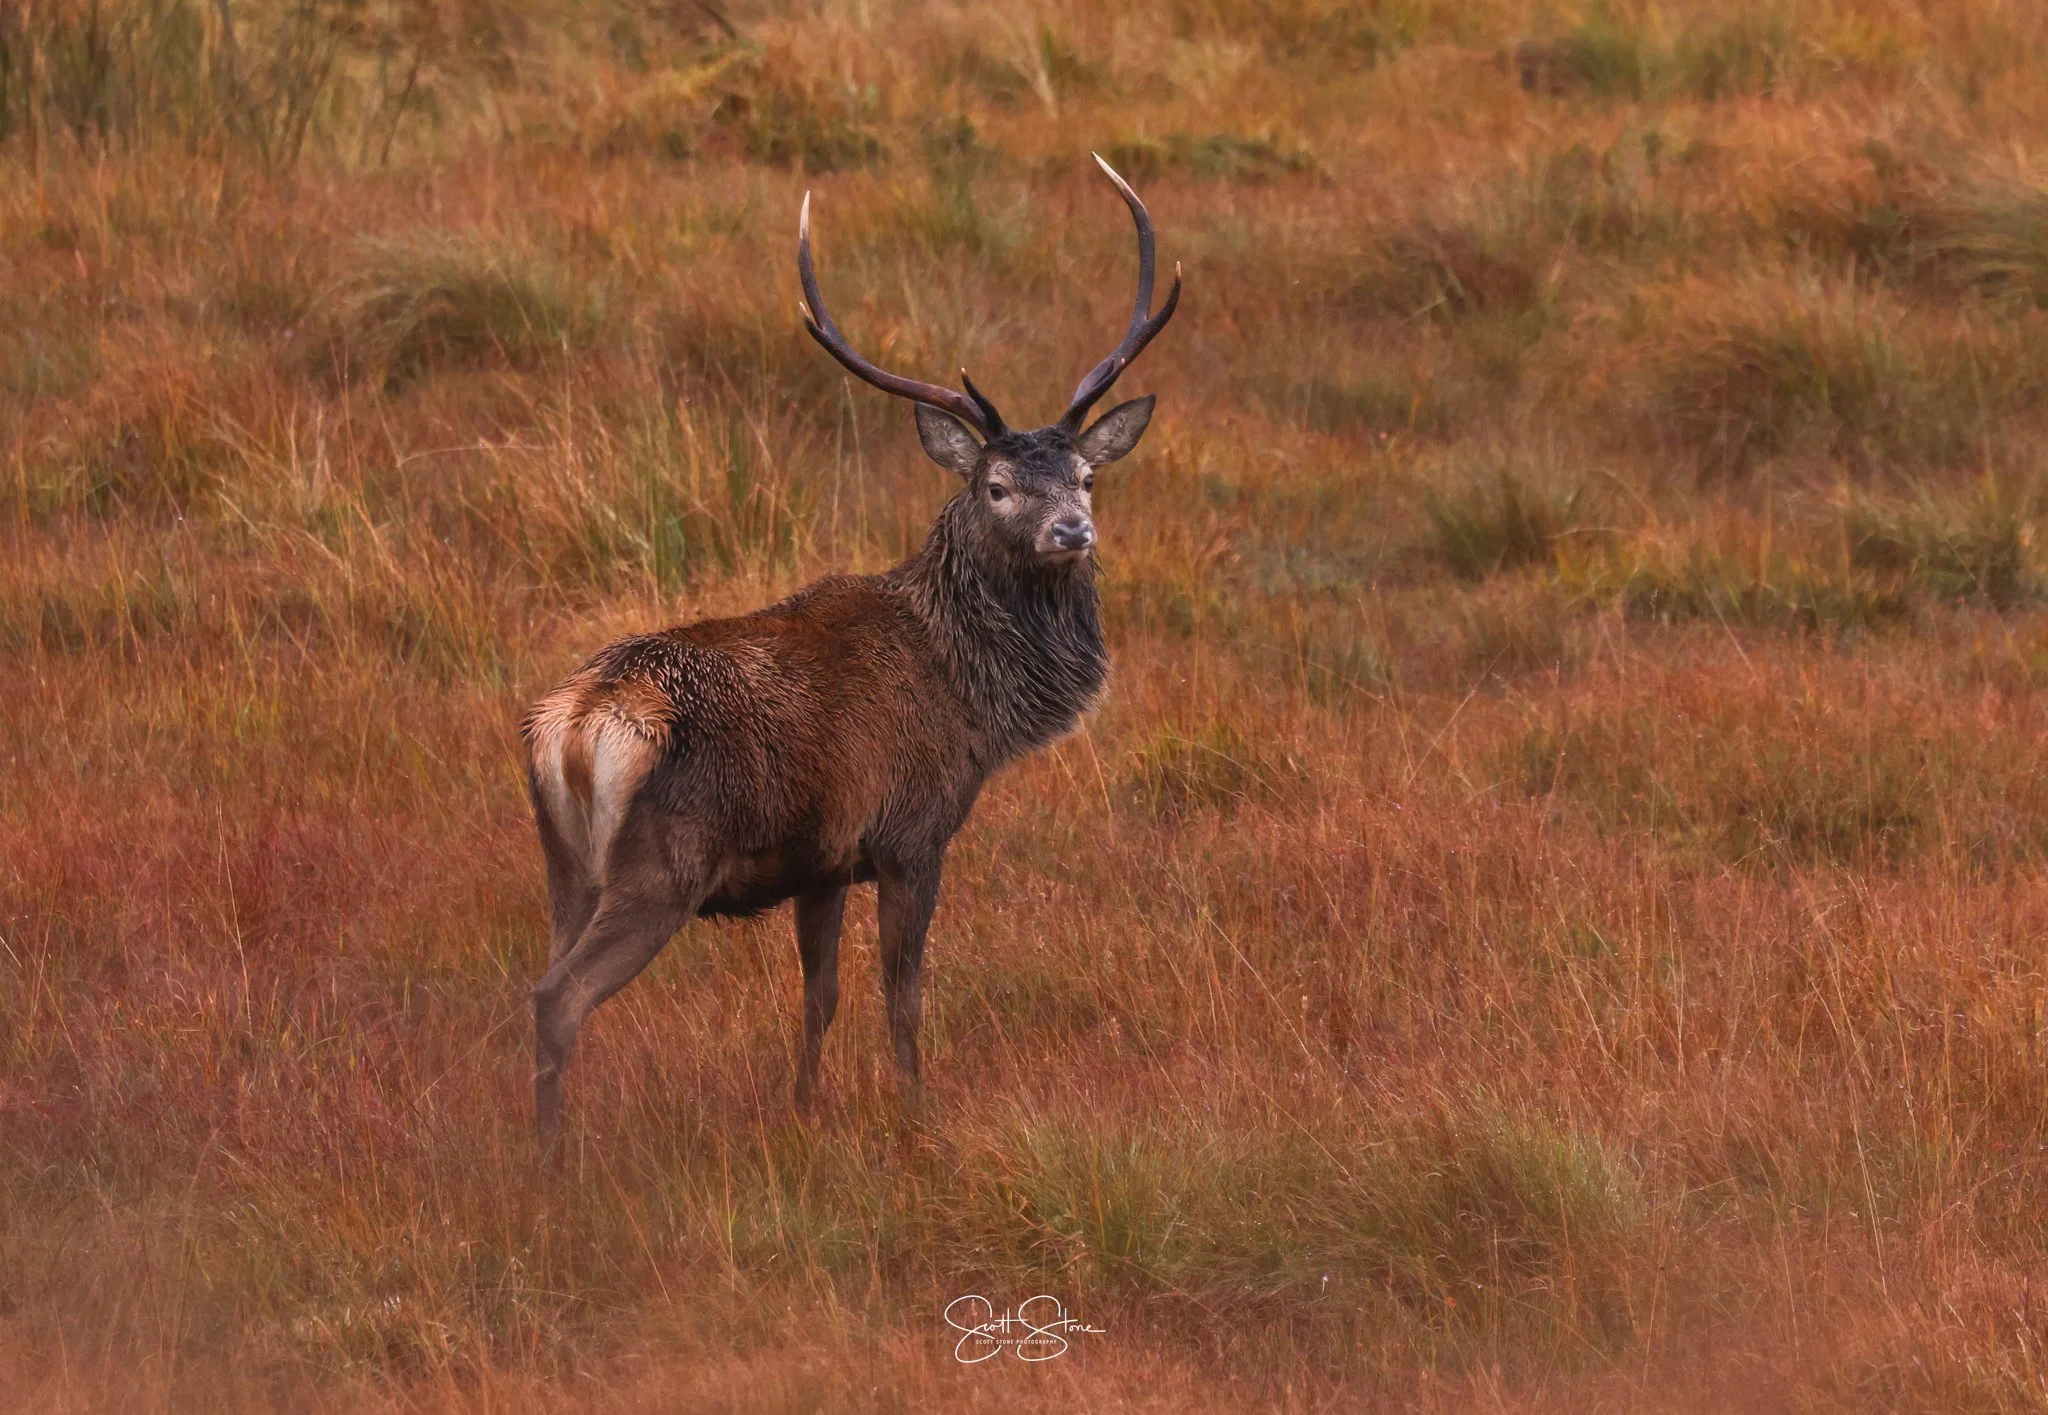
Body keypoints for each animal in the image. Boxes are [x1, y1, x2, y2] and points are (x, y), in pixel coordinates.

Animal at [519, 156, 1180, 1152]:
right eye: (996, 485)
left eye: (1087, 476)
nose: (1073, 530)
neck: (972, 701)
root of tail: (572, 725)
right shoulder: (912, 832)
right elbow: (902, 997)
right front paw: (916, 1115)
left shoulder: (819, 860)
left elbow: (819, 995)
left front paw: (804, 1107)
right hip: (657, 868)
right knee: (556, 997)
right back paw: (552, 1163)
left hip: (564, 863)